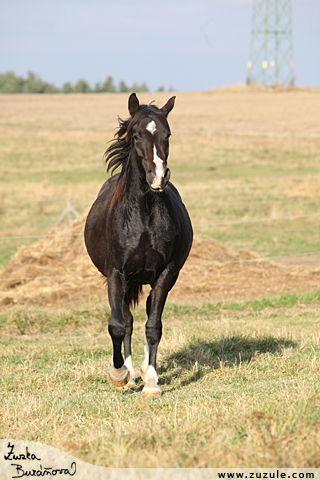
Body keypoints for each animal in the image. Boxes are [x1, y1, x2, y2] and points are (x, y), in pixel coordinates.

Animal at [84, 94, 192, 398]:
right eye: (135, 136)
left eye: (168, 134)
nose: (158, 176)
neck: (142, 214)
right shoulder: (116, 274)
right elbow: (118, 326)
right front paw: (119, 374)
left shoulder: (165, 275)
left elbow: (153, 326)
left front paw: (152, 382)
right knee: (129, 322)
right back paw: (131, 374)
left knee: (146, 316)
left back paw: (143, 371)